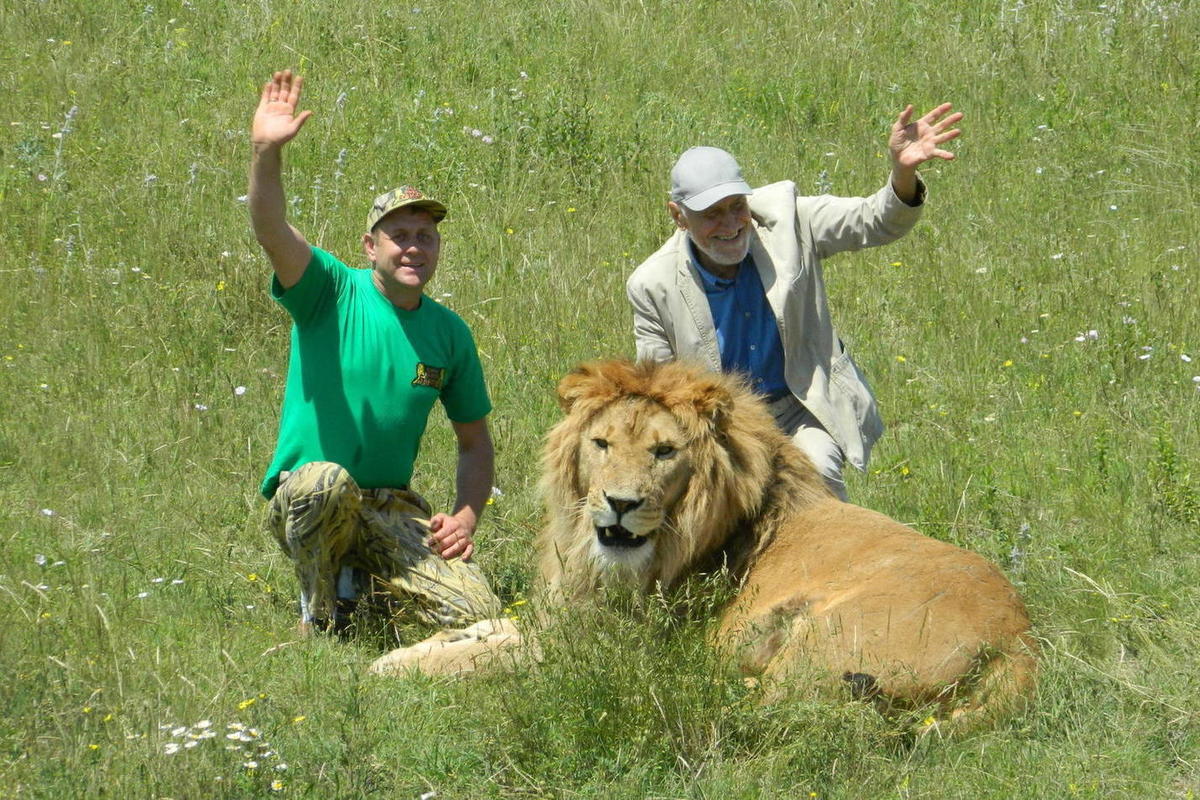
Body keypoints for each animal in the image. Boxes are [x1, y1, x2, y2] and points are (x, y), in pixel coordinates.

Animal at [369, 359, 1036, 734]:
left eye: (665, 452)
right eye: (602, 444)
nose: (620, 502)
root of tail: (1023, 643)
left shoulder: (603, 646)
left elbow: (486, 660)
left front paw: (403, 671)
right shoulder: (569, 615)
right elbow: (489, 633)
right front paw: (407, 653)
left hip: (826, 637)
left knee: (779, 706)